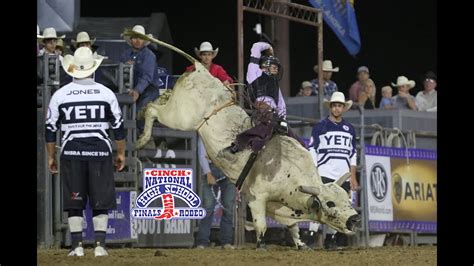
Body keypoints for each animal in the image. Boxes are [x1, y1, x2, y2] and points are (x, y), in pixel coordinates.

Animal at [130, 31, 360, 249]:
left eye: (347, 198)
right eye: (330, 203)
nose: (355, 219)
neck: (291, 174)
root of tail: (201, 69)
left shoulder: (280, 206)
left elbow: (292, 226)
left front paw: (301, 244)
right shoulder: (258, 198)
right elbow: (261, 224)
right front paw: (262, 245)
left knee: (159, 101)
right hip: (181, 117)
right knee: (153, 110)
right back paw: (141, 138)